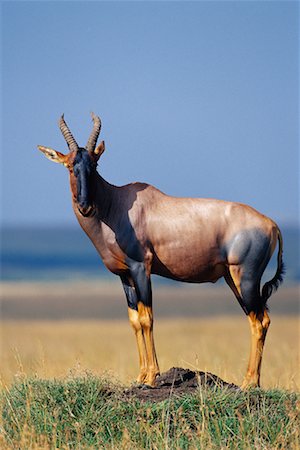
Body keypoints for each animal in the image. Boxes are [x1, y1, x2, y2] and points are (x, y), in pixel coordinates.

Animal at [37, 114, 284, 388]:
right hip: (232, 279)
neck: (116, 205)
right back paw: (252, 381)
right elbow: (135, 320)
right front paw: (140, 375)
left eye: (95, 165)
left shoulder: (141, 268)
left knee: (260, 321)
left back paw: (249, 382)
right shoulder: (125, 275)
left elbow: (148, 317)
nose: (85, 206)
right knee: (257, 319)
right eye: (70, 166)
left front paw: (152, 377)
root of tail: (271, 224)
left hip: (246, 277)